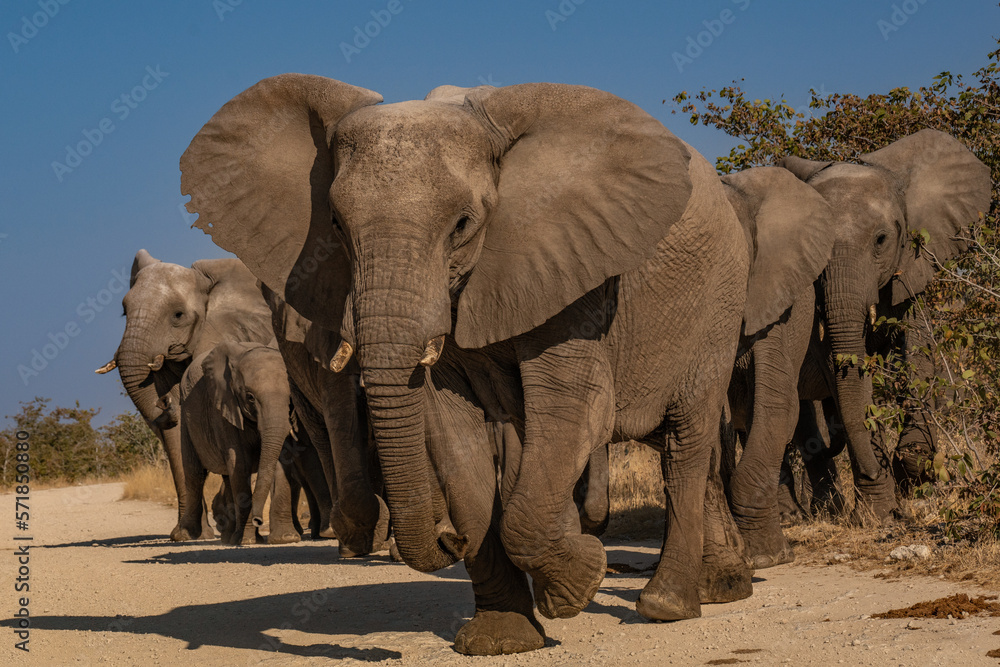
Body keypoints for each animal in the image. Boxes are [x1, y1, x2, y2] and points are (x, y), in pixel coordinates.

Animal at [95, 250, 275, 539]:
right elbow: (179, 439)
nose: (164, 402)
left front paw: (194, 533)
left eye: (178, 315)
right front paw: (187, 535)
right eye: (124, 311)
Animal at [174, 341, 295, 545]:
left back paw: (228, 538)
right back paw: (185, 535)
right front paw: (247, 541)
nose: (258, 520)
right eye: (250, 397)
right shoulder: (223, 407)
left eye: (291, 398)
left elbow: (283, 462)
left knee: (226, 478)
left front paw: (286, 539)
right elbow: (239, 464)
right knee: (195, 474)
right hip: (185, 417)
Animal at [777, 130, 991, 521]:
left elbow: (917, 350)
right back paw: (808, 513)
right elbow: (841, 372)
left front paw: (914, 469)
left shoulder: (911, 263)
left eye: (881, 240)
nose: (873, 471)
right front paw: (879, 509)